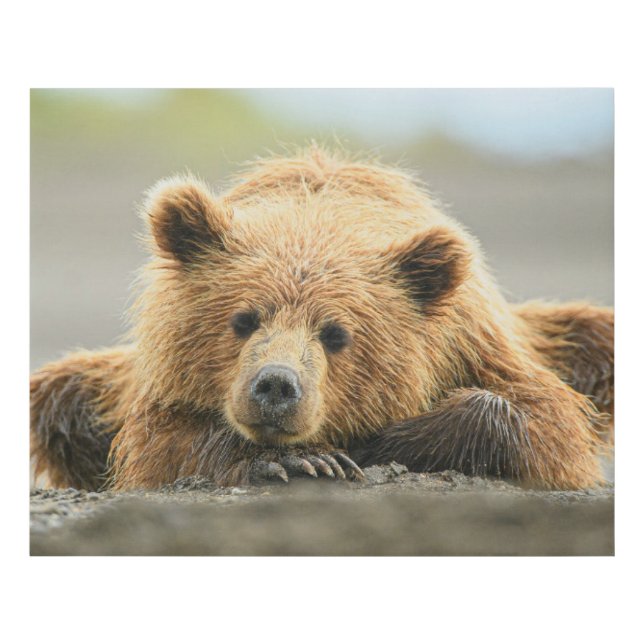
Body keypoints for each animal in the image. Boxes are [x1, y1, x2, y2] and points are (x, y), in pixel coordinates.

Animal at [30, 147, 614, 492]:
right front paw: (300, 459)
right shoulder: (159, 384)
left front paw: (378, 443)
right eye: (244, 319)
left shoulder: (476, 343)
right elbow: (159, 446)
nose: (276, 386)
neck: (320, 214)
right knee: (59, 395)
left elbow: (545, 423)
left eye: (336, 333)